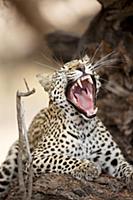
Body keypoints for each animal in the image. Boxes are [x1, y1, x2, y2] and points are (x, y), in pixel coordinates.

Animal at [0, 54, 133, 197]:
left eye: (84, 62)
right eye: (65, 69)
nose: (81, 67)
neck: (83, 126)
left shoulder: (114, 159)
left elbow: (126, 166)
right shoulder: (37, 157)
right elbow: (61, 158)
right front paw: (87, 167)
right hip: (10, 162)